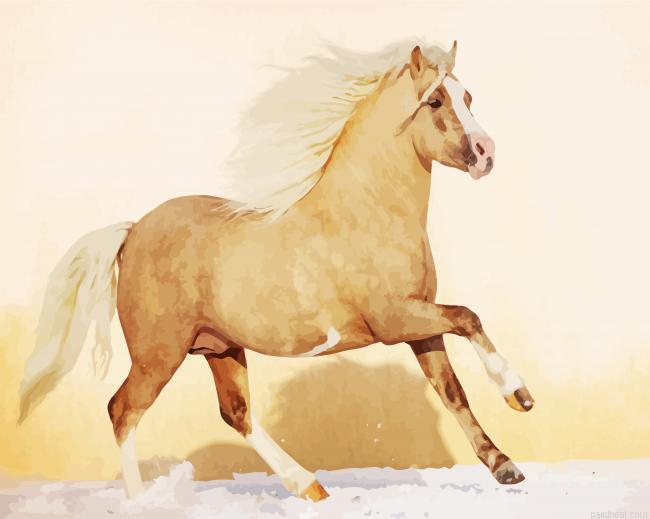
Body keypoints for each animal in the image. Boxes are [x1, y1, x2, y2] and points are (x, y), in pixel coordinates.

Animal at [18, 40, 534, 502]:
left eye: (469, 97)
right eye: (435, 100)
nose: (486, 152)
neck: (368, 212)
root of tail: (133, 230)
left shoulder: (419, 325)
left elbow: (452, 390)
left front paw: (505, 465)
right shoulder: (396, 320)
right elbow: (468, 316)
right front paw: (518, 394)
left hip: (220, 348)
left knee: (237, 412)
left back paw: (308, 486)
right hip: (157, 355)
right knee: (123, 410)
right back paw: (142, 501)